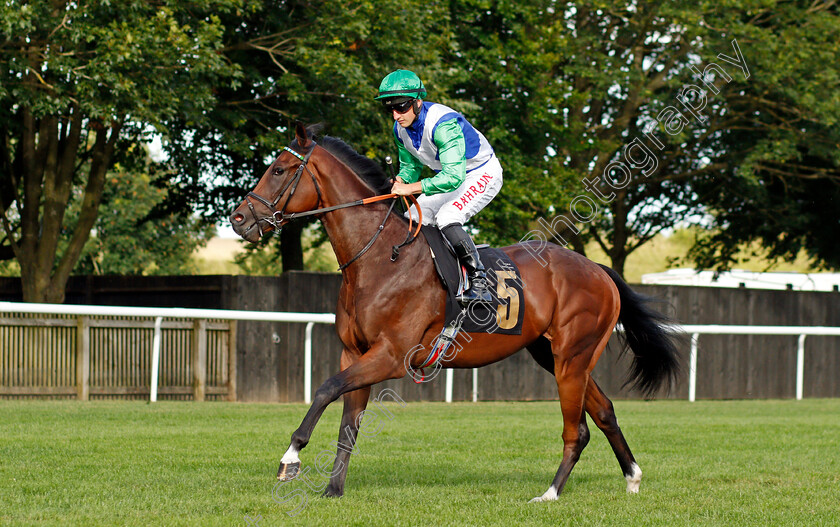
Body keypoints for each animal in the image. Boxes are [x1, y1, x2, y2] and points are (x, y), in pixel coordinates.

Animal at [230, 122, 684, 504]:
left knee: (578, 430)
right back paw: (632, 478)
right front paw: (333, 489)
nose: (238, 218)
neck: (379, 258)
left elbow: (325, 389)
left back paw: (551, 493)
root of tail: (598, 269)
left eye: (279, 169)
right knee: (604, 412)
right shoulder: (354, 352)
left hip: (573, 358)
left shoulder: (391, 356)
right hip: (555, 356)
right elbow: (348, 422)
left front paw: (291, 457)